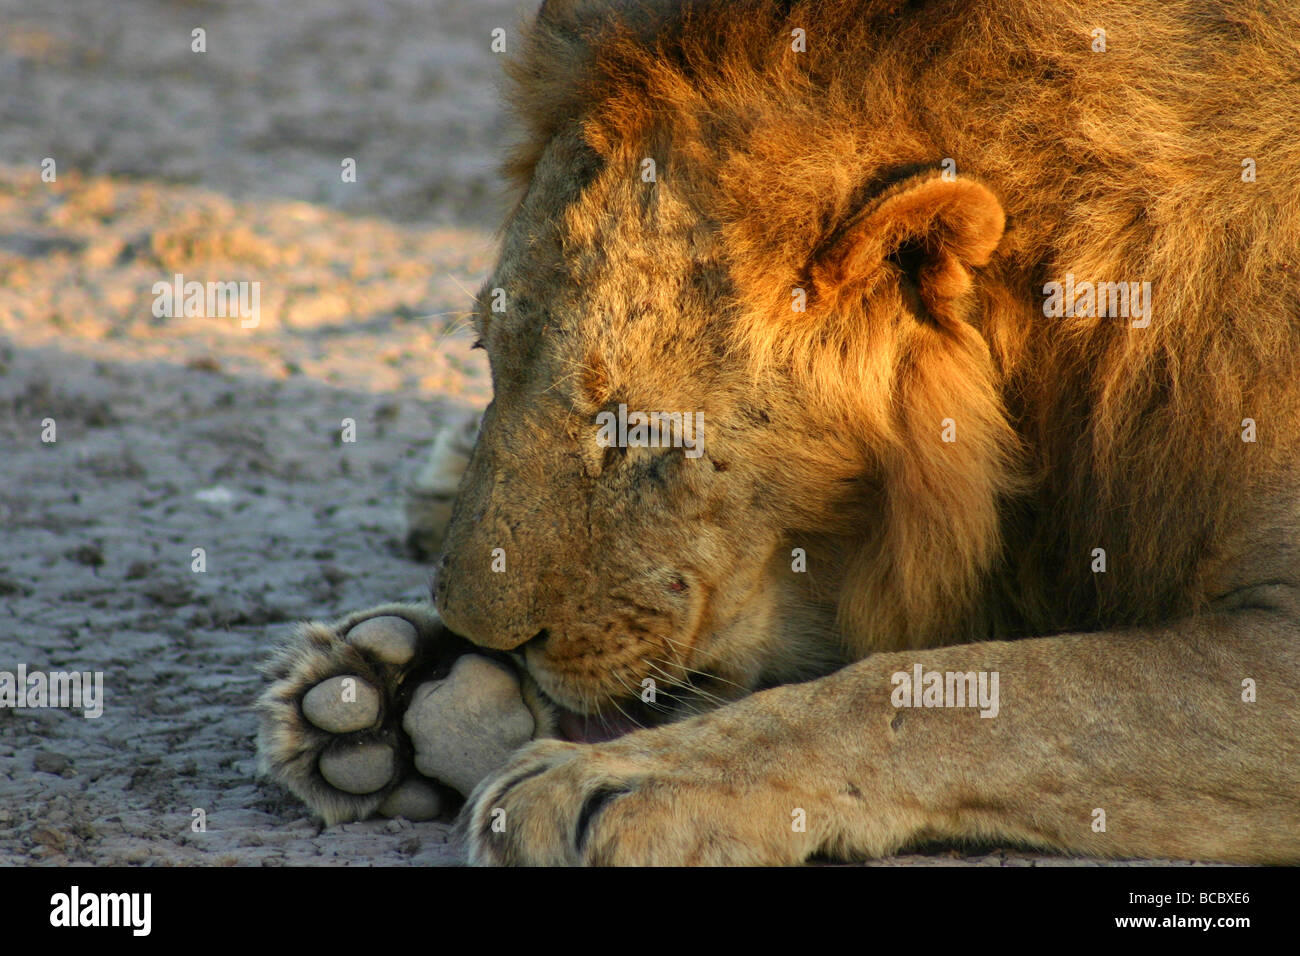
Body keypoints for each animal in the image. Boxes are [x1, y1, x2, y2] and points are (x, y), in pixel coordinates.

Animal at [253, 0, 1300, 868]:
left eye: (641, 429)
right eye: (487, 353)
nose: (480, 633)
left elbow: (974, 695)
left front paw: (621, 782)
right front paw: (398, 690)